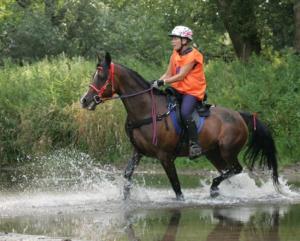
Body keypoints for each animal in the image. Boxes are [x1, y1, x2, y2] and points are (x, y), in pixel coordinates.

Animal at [80, 52, 278, 200]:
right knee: (229, 172)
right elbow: (127, 176)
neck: (146, 110)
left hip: (228, 151)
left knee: (236, 169)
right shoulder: (138, 151)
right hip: (214, 153)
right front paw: (126, 199)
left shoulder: (165, 157)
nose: (85, 100)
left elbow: (177, 188)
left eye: (102, 76)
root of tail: (240, 115)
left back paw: (214, 187)